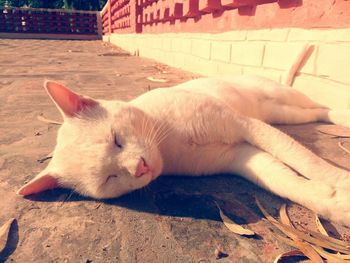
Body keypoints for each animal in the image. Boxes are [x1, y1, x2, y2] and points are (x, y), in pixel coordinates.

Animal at [17, 76, 350, 227]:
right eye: (109, 178)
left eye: (116, 139)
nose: (139, 167)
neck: (169, 143)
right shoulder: (240, 157)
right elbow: (286, 181)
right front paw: (336, 202)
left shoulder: (244, 125)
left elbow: (305, 161)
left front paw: (339, 181)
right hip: (283, 114)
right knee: (315, 113)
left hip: (280, 100)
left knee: (317, 106)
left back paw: (341, 117)